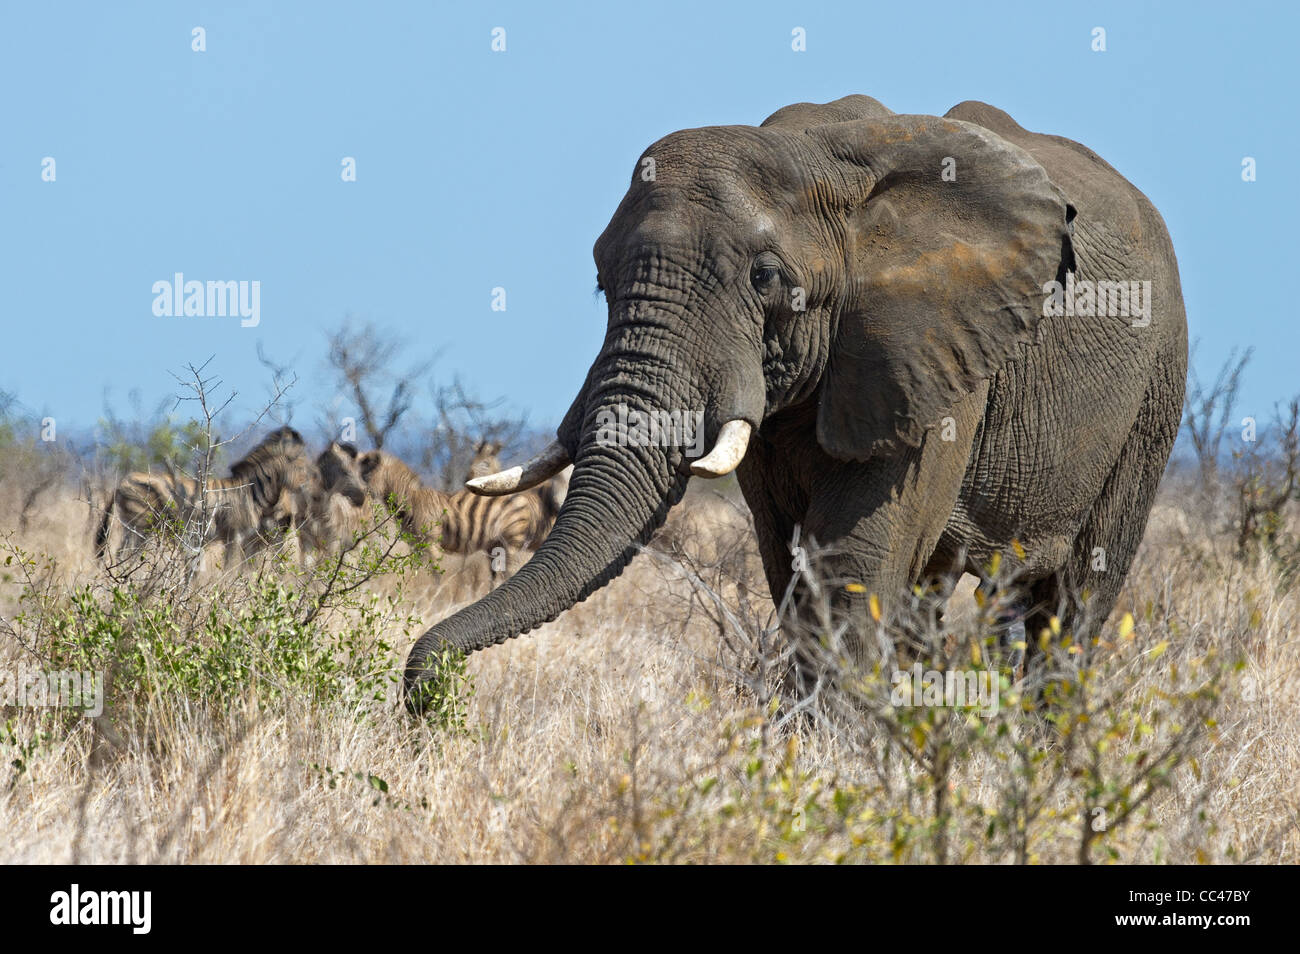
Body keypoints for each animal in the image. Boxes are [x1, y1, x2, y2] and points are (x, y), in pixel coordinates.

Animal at [405, 97, 1190, 712]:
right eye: (602, 280)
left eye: (765, 278)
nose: (427, 691)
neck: (823, 159)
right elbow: (792, 561)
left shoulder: (936, 357)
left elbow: (852, 564)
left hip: (1156, 391)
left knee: (1072, 604)